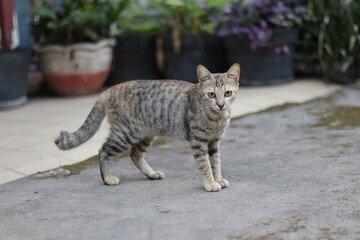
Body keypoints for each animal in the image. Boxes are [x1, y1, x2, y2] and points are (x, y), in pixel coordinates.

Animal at [54, 63, 240, 191]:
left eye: (227, 93)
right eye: (211, 94)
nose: (221, 104)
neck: (217, 118)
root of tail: (107, 91)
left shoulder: (214, 142)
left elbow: (216, 163)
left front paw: (218, 179)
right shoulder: (198, 141)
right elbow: (205, 165)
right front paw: (210, 183)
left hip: (145, 134)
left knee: (135, 154)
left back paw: (151, 174)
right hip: (126, 133)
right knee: (104, 150)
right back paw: (107, 179)